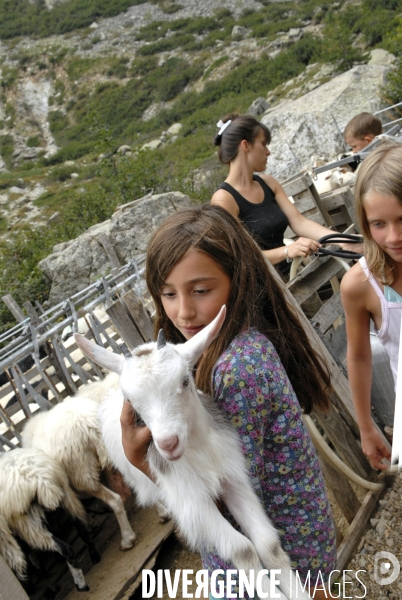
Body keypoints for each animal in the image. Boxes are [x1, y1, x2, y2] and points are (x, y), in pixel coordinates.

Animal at [0, 446, 89, 592]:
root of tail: (40, 479)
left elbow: (19, 558)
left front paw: (32, 579)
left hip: (27, 524)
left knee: (64, 548)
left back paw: (81, 585)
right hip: (67, 497)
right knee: (83, 529)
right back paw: (94, 557)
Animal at [75, 308, 310, 596]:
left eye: (185, 381)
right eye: (131, 401)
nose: (168, 443)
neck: (198, 450)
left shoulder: (231, 476)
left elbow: (269, 546)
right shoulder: (192, 499)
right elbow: (243, 550)